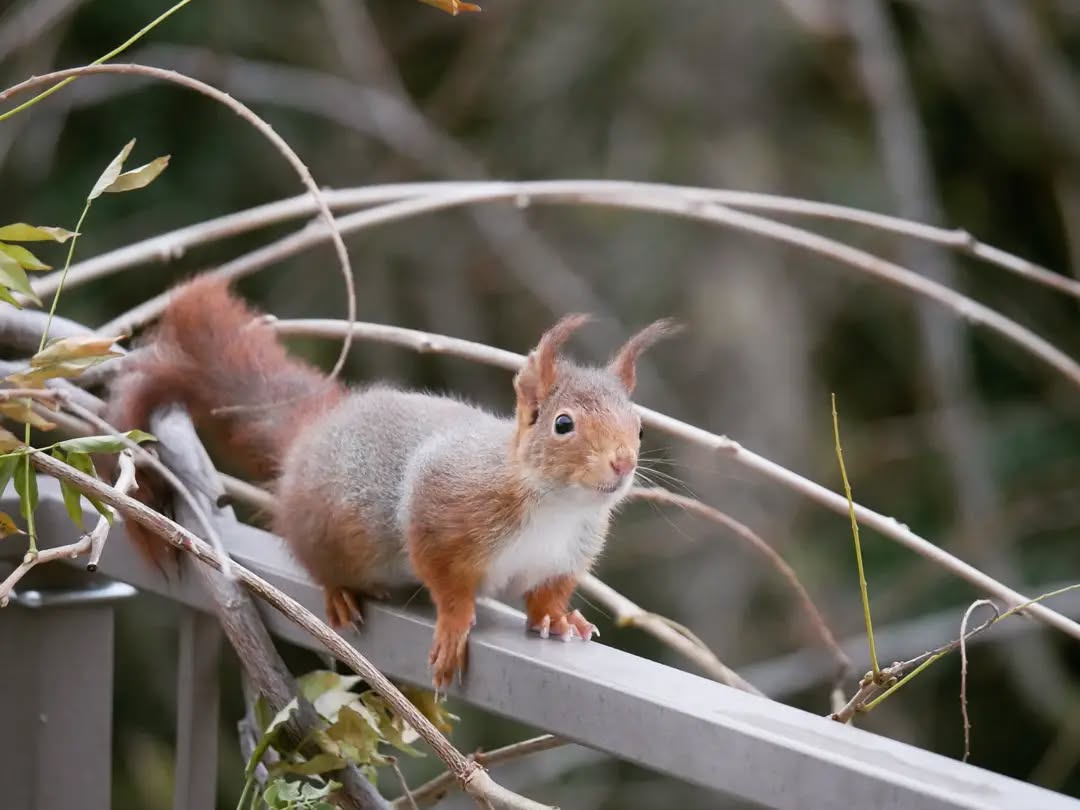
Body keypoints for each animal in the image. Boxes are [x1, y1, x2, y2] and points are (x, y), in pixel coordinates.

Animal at [105, 276, 669, 686]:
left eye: (639, 426)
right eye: (563, 424)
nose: (623, 463)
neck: (557, 506)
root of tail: (315, 434)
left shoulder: (565, 555)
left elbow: (549, 591)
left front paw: (558, 617)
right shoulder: (439, 510)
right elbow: (444, 578)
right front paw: (454, 625)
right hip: (330, 528)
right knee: (316, 558)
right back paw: (340, 592)